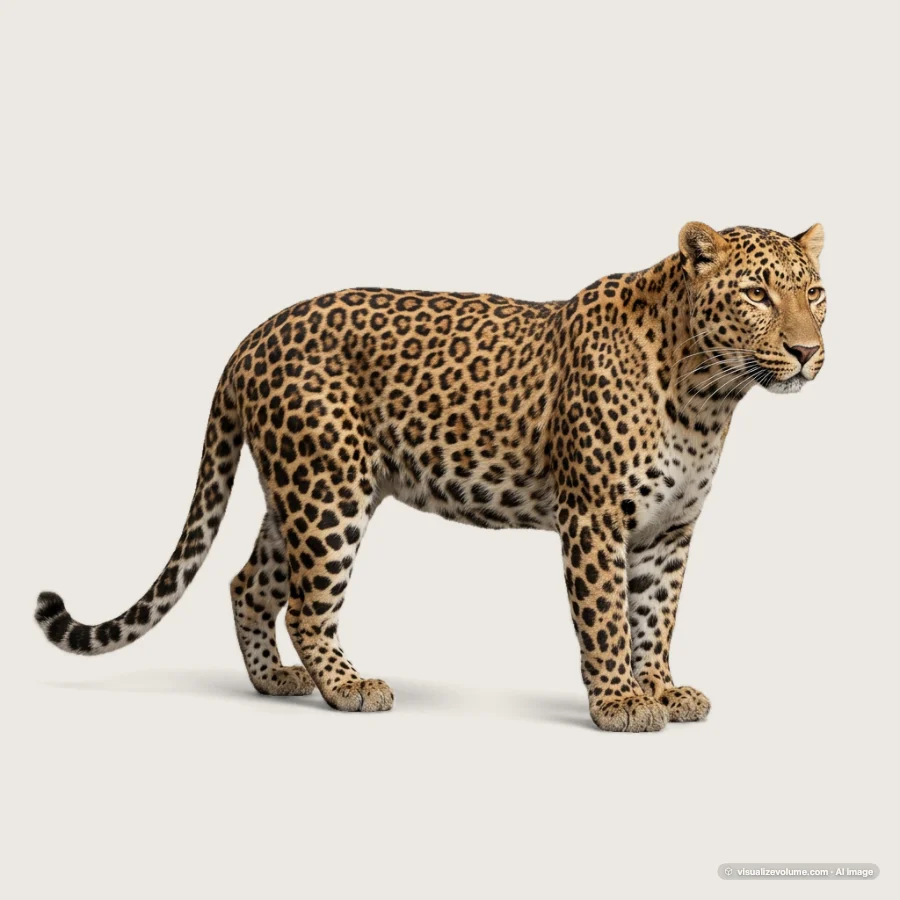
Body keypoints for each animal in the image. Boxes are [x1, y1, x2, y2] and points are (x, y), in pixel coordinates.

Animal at [35, 222, 827, 731]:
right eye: (756, 294)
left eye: (814, 293)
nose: (806, 350)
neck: (707, 394)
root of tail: (253, 337)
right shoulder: (595, 518)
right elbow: (605, 617)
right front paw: (620, 703)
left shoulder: (669, 530)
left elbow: (655, 617)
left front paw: (660, 688)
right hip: (330, 488)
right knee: (307, 604)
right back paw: (347, 687)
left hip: (297, 488)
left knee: (247, 583)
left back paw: (273, 681)